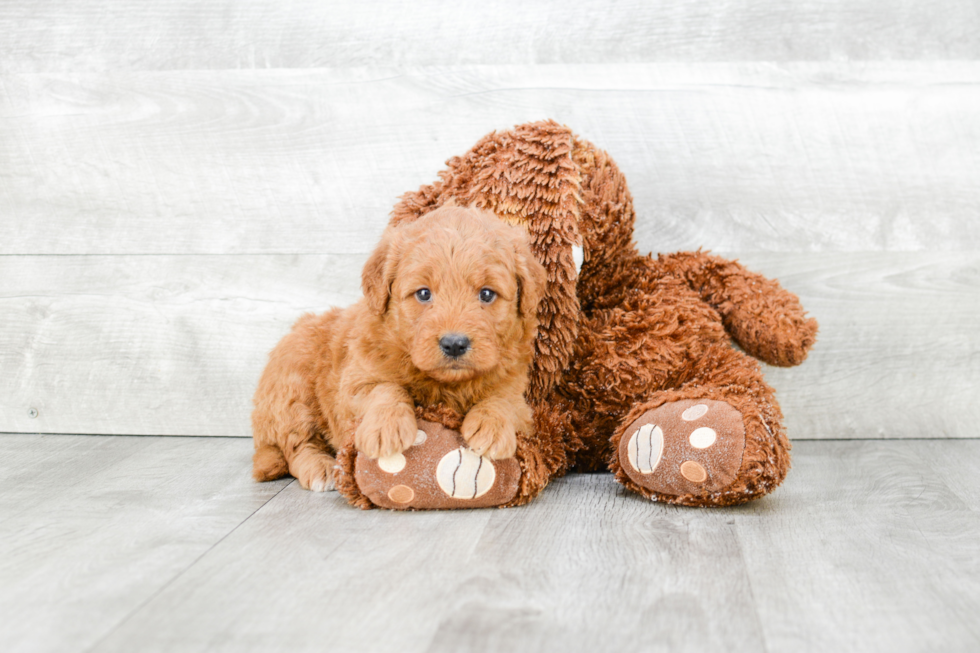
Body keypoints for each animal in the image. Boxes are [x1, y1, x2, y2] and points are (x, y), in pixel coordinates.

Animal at [249, 204, 548, 488]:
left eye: (487, 294)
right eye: (424, 294)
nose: (454, 344)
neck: (445, 384)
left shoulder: (520, 398)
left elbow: (503, 400)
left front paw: (491, 427)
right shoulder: (353, 384)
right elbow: (385, 388)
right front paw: (387, 427)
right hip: (292, 390)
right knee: (296, 445)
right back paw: (321, 468)